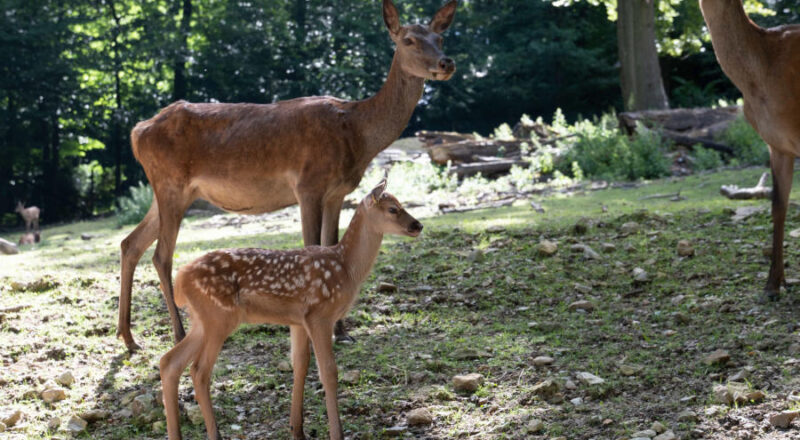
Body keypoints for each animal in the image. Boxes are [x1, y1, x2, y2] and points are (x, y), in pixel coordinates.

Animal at [117, 0, 456, 350]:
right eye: (408, 40)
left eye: (440, 38)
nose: (446, 63)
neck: (357, 133)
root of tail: (137, 133)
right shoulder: (308, 185)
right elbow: (311, 245)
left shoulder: (337, 192)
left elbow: (330, 243)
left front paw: (342, 330)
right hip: (170, 183)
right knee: (161, 254)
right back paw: (178, 332)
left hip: (168, 191)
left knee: (130, 243)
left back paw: (129, 337)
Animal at [161, 181, 424, 440]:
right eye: (393, 209)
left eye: (401, 204)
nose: (418, 225)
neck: (346, 268)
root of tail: (181, 280)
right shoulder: (320, 314)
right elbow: (328, 372)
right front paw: (336, 433)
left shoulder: (298, 320)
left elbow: (300, 365)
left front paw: (297, 430)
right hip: (219, 316)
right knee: (199, 371)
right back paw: (214, 434)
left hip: (202, 320)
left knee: (169, 362)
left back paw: (176, 433)